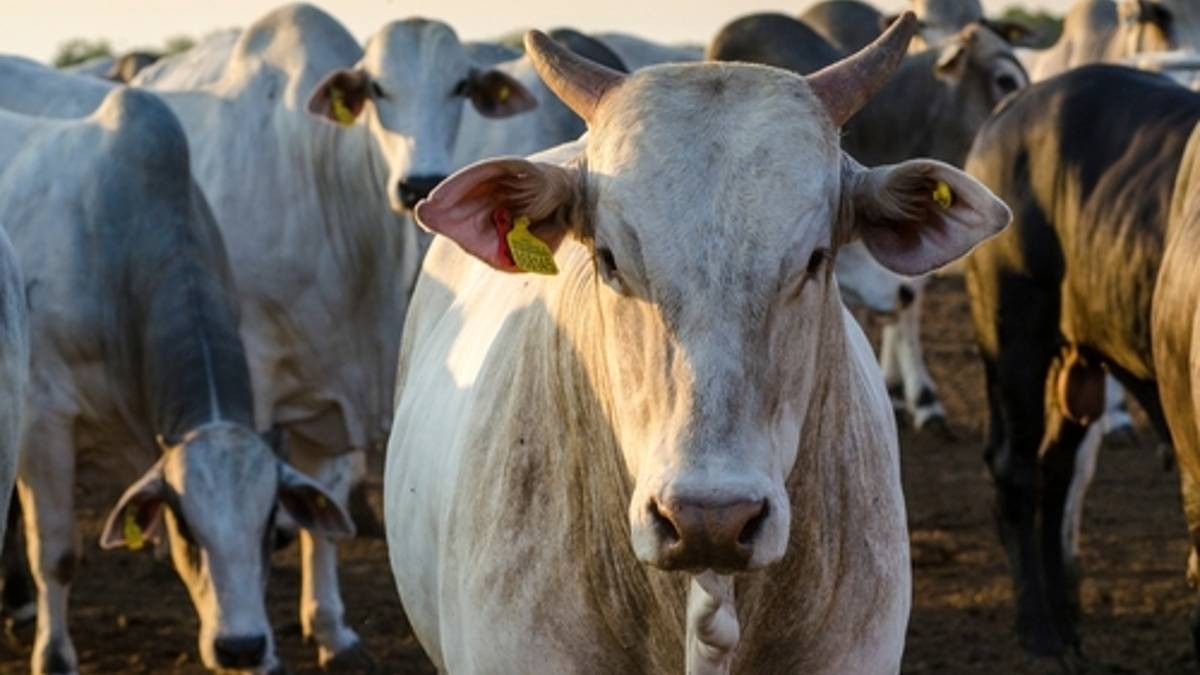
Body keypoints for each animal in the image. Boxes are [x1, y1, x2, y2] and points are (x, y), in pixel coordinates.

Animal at [0, 60, 350, 667]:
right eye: (188, 525)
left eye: (271, 527)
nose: (241, 647)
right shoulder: (43, 422)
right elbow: (58, 553)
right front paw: (53, 656)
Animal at [126, 3, 535, 662]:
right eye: (377, 90)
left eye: (460, 87)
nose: (419, 183)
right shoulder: (251, 374)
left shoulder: (332, 393)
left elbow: (326, 503)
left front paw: (330, 627)